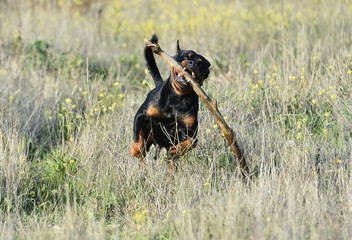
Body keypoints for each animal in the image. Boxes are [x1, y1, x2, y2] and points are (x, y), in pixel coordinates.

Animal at [131, 35, 210, 171]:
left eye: (200, 62)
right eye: (185, 56)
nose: (193, 63)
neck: (178, 97)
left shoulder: (191, 132)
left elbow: (189, 143)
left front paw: (176, 150)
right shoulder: (141, 115)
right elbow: (137, 137)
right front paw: (136, 150)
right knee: (143, 152)